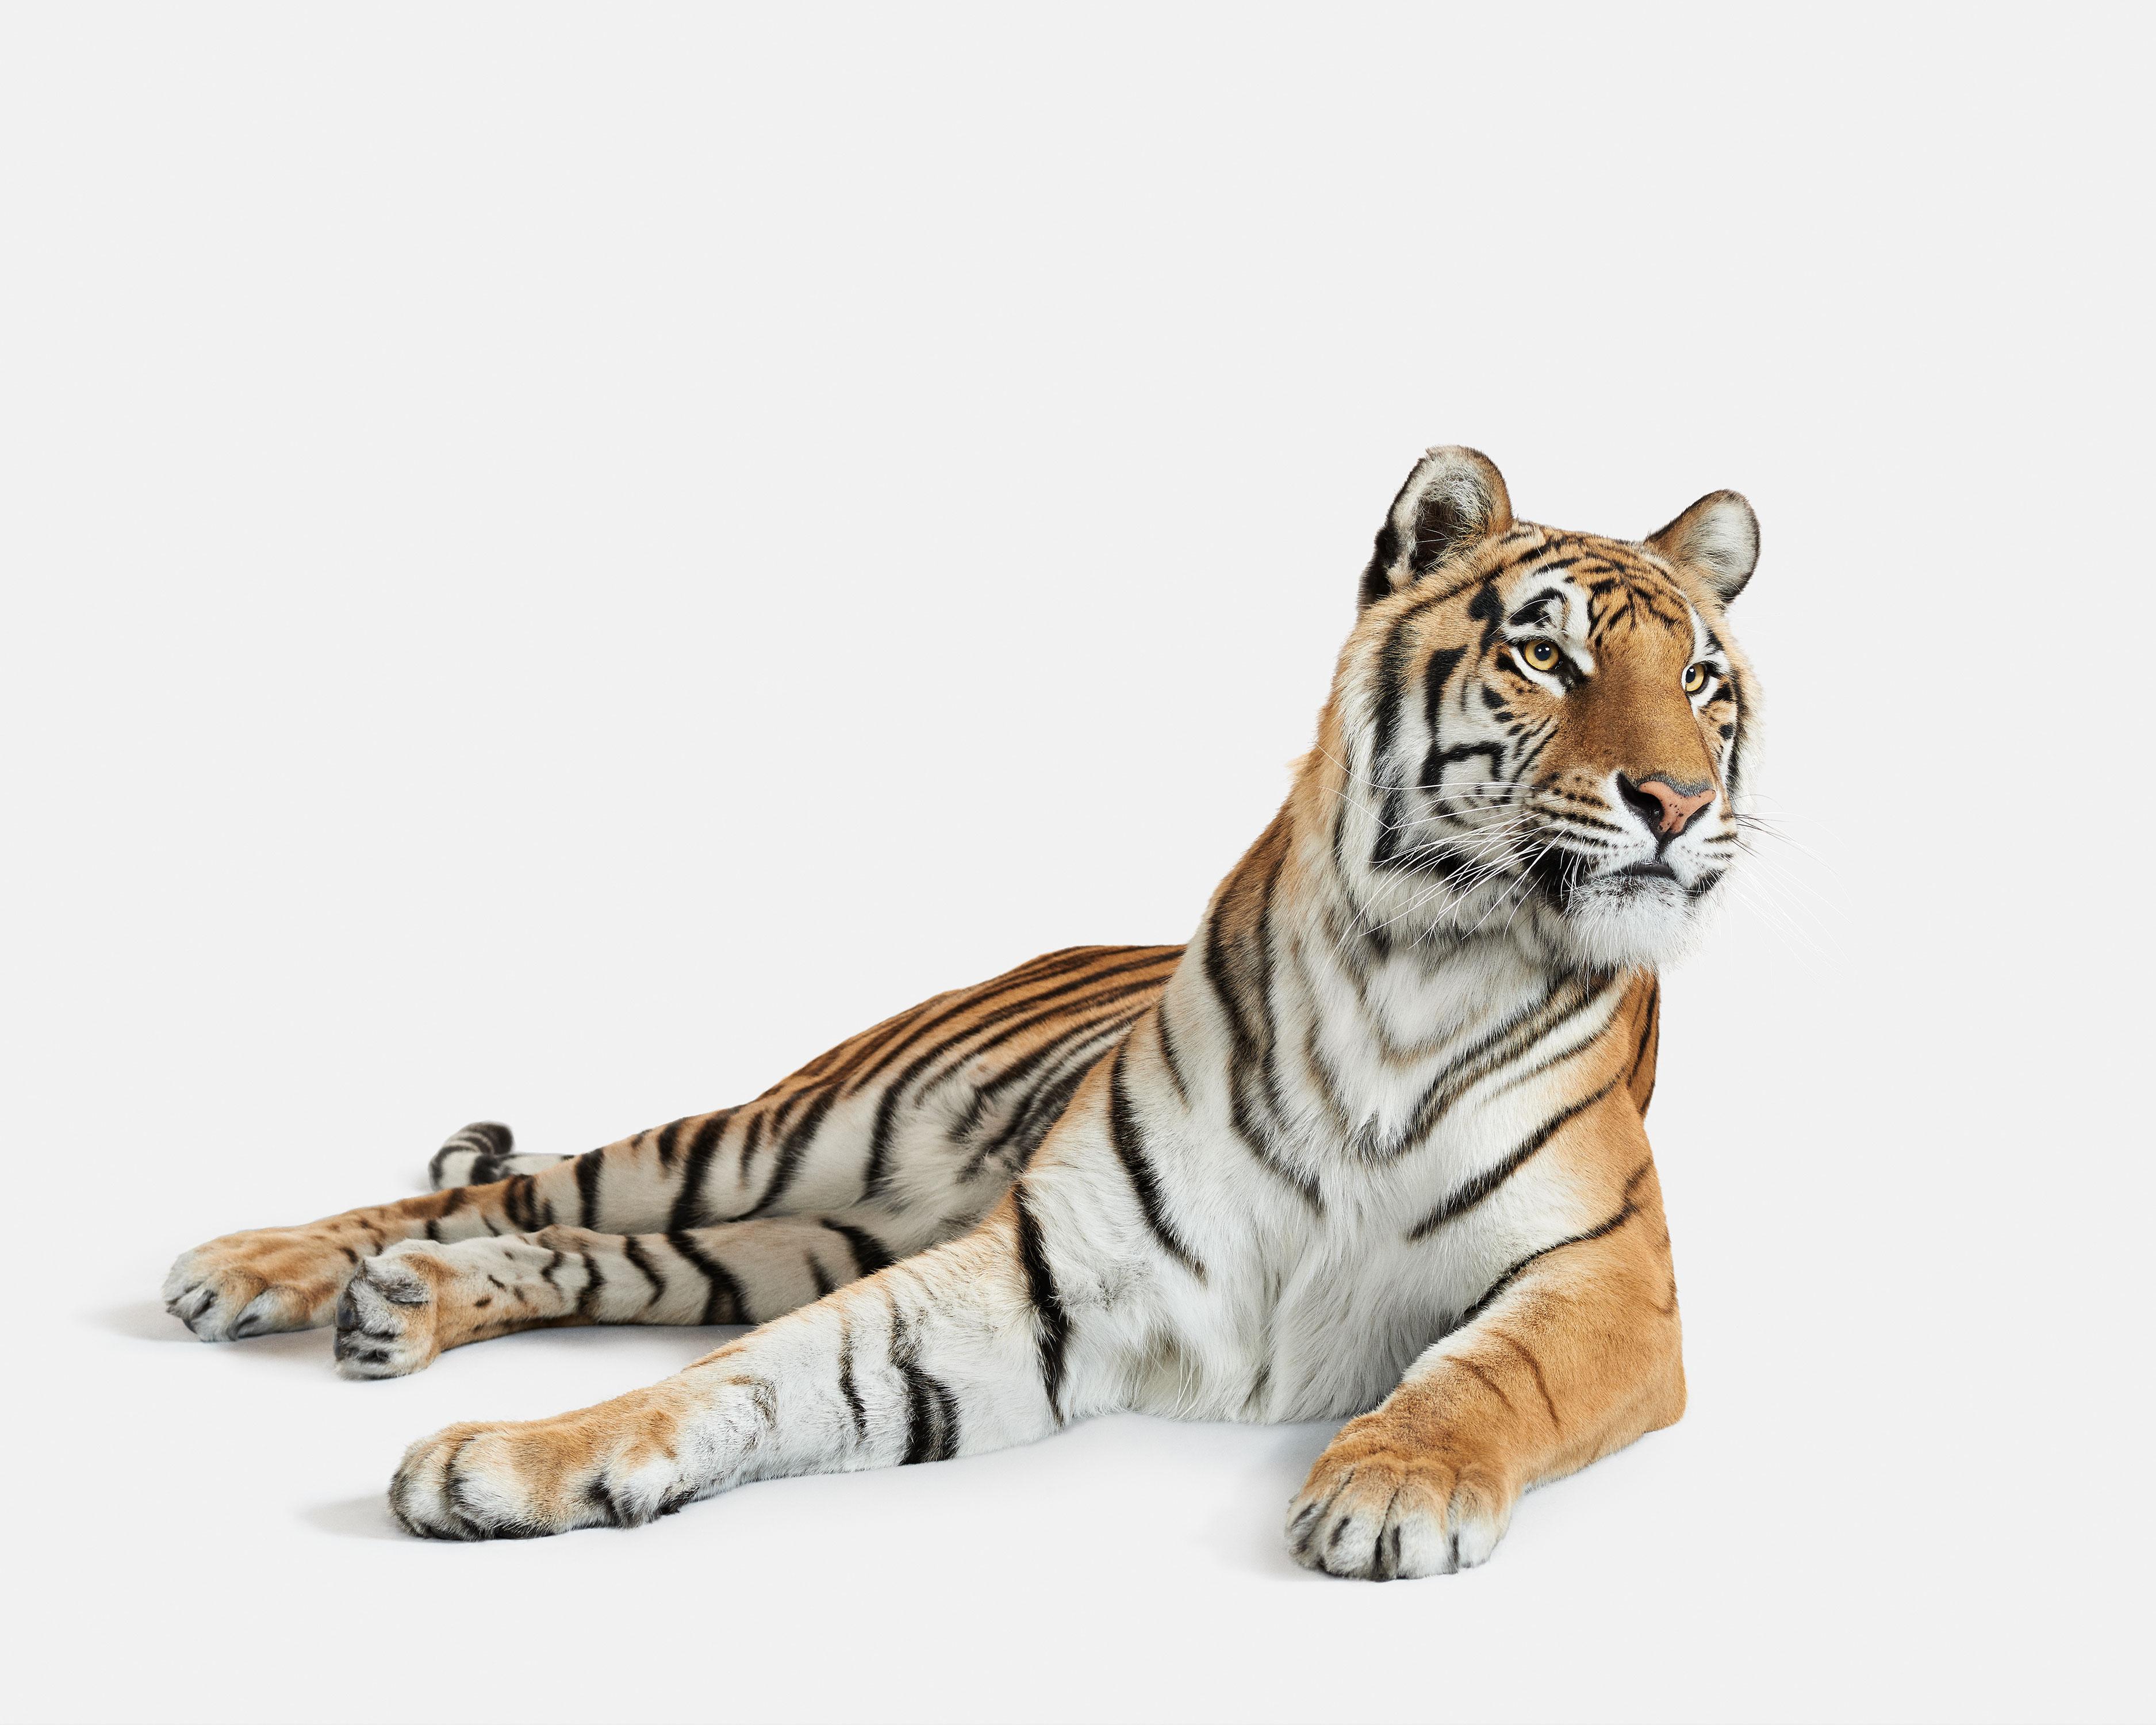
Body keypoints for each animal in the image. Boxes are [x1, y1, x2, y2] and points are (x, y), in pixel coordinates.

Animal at [163, 447, 1761, 1578]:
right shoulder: (1045, 1275)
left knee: (588, 1251)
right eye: (1545, 654)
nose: (1677, 803)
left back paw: (403, 1308)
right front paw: (513, 1457)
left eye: (1697, 677)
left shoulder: (1608, 1279)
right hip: (771, 1136)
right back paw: (255, 1269)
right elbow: (745, 1380)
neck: (1420, 963)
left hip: (799, 1229)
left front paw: (1390, 1482)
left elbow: (1487, 1375)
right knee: (503, 1193)